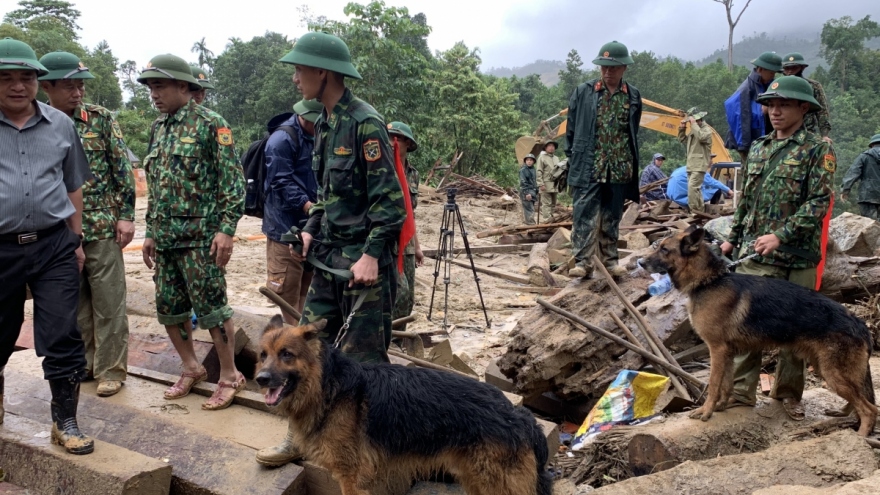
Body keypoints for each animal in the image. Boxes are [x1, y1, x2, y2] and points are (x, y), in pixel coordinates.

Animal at [255, 316, 553, 495]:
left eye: (287, 355)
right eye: (262, 355)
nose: (260, 379)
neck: (328, 386)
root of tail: (518, 414)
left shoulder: (351, 478)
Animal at [642, 227, 877, 436]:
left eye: (664, 249)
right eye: (658, 246)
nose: (641, 262)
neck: (710, 281)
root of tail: (859, 322)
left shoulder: (716, 350)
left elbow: (714, 385)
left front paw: (706, 411)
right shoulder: (727, 353)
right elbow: (726, 384)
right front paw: (721, 406)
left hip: (832, 373)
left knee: (870, 408)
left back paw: (861, 436)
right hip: (826, 368)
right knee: (860, 399)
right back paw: (843, 414)